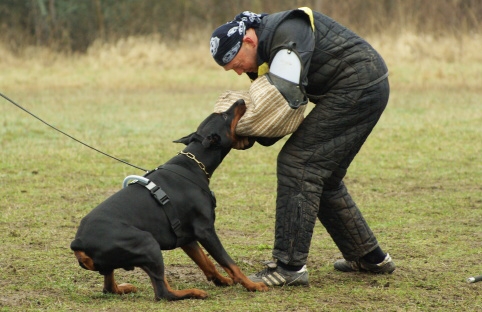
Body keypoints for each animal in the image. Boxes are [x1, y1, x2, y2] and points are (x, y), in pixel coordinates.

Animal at [70, 100, 270, 300]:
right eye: (225, 116)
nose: (241, 101)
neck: (194, 164)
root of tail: (78, 243)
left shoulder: (186, 237)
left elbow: (206, 262)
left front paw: (221, 280)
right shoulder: (205, 230)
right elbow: (229, 262)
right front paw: (252, 285)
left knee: (109, 287)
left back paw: (124, 288)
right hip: (148, 243)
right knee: (163, 293)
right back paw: (193, 292)